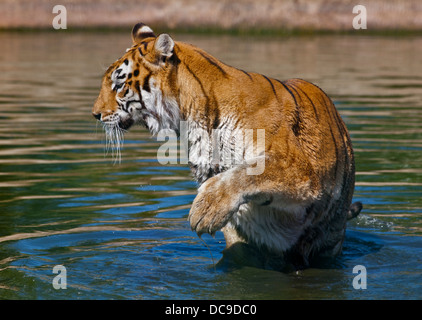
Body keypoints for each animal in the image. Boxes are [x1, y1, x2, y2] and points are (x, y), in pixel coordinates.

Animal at [93, 22, 362, 272]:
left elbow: (246, 173)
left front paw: (206, 209)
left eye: (119, 84)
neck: (189, 117)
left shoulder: (295, 165)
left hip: (328, 238)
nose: (95, 114)